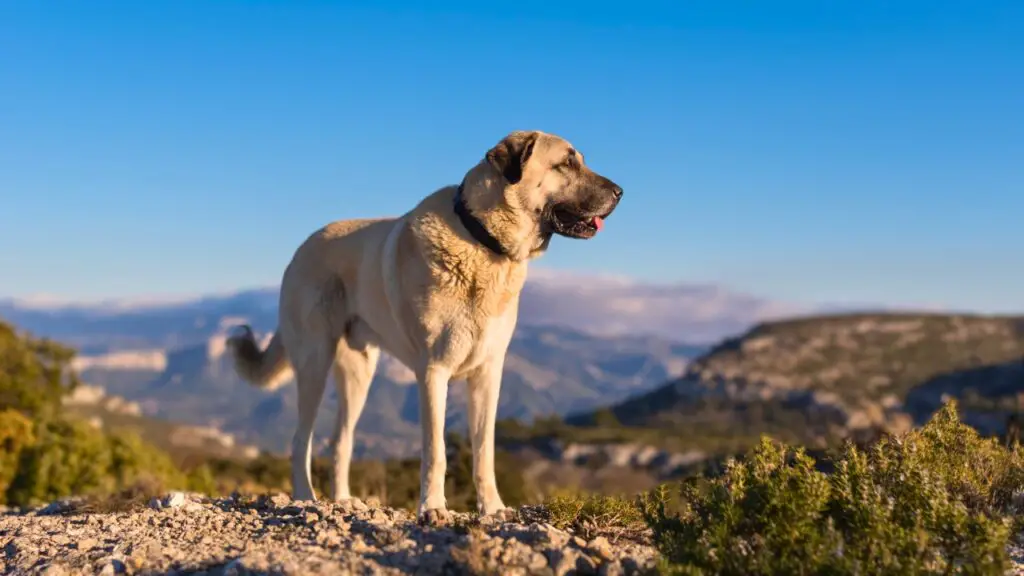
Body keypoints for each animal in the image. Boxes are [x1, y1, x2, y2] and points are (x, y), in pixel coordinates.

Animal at [227, 129, 618, 520]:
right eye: (566, 163)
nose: (620, 192)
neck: (482, 241)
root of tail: (301, 248)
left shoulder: (488, 375)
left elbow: (484, 452)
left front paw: (492, 508)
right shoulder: (433, 372)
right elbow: (436, 451)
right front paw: (432, 507)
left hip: (358, 375)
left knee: (341, 441)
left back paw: (342, 500)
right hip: (314, 365)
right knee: (300, 440)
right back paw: (305, 497)